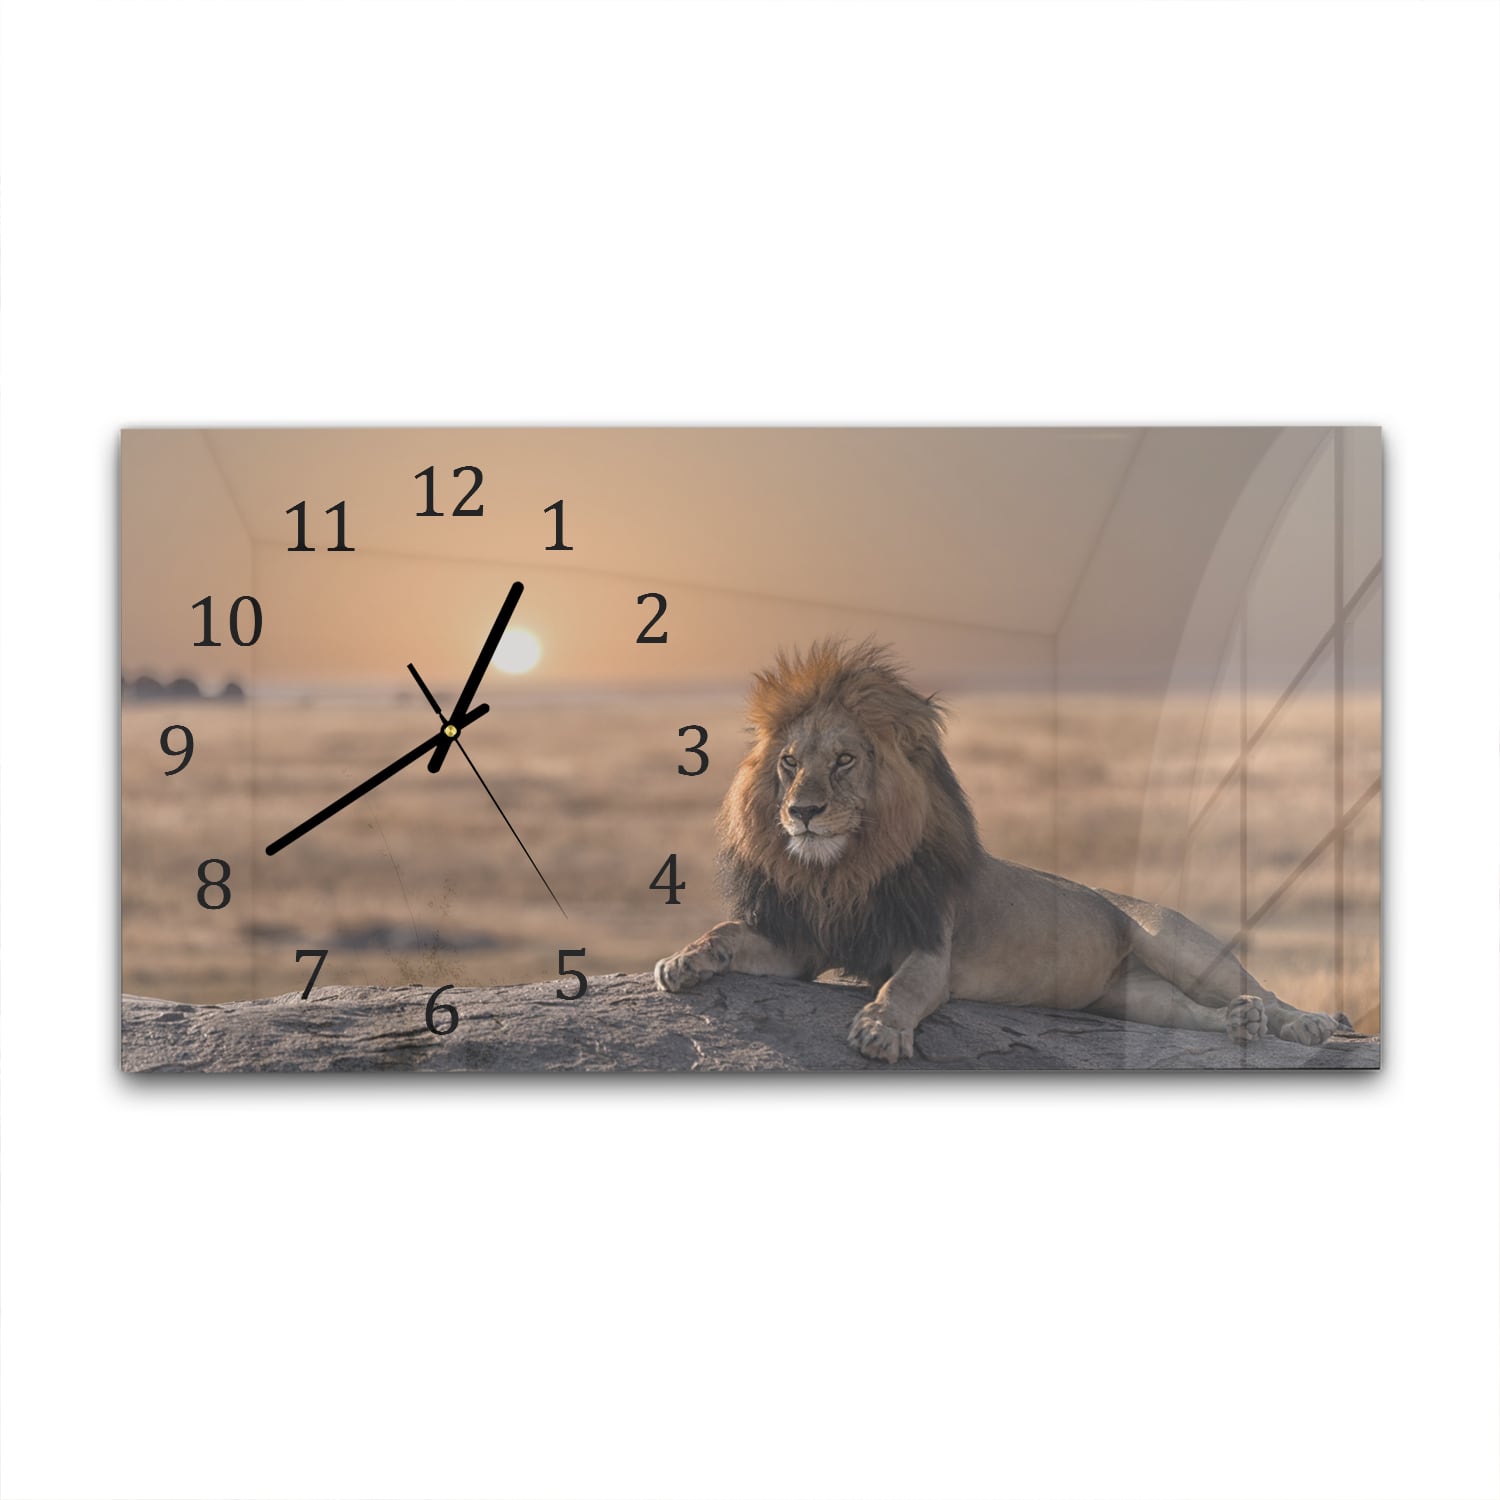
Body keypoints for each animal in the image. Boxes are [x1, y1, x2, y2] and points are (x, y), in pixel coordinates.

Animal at [654, 639, 1351, 1063]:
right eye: (791, 764)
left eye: (845, 760)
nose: (801, 812)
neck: (845, 870)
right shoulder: (804, 942)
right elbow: (728, 933)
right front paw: (683, 961)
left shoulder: (928, 948)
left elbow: (901, 988)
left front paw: (879, 1029)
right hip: (1131, 996)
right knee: (1189, 1012)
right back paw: (1238, 1024)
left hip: (1177, 942)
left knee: (1263, 989)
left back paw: (1305, 1024)